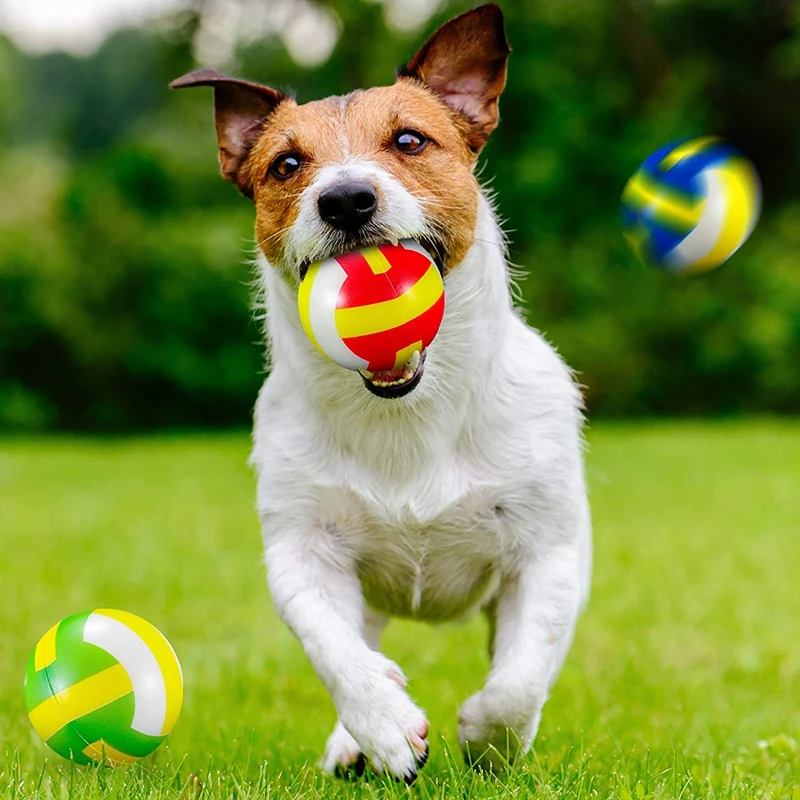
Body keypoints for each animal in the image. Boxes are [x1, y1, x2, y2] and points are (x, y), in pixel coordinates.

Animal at [172, 1, 592, 780]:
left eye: (409, 140)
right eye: (286, 164)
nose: (345, 198)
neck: (406, 411)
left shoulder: (547, 554)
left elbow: (520, 677)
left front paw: (488, 736)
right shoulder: (301, 549)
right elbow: (333, 649)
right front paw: (383, 724)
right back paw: (354, 740)